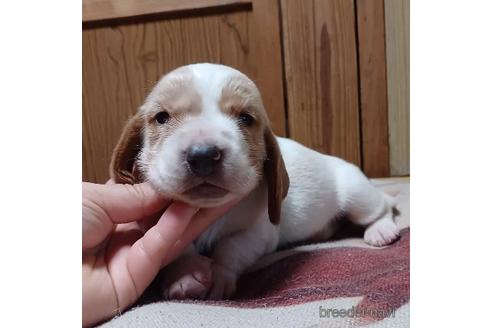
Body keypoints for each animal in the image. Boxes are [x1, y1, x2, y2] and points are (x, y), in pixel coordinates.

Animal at [108, 62, 400, 302]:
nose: (203, 155)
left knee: (380, 209)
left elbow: (230, 247)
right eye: (161, 117)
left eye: (245, 118)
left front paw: (220, 276)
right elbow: (177, 247)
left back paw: (381, 230)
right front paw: (186, 274)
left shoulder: (260, 233)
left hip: (357, 195)